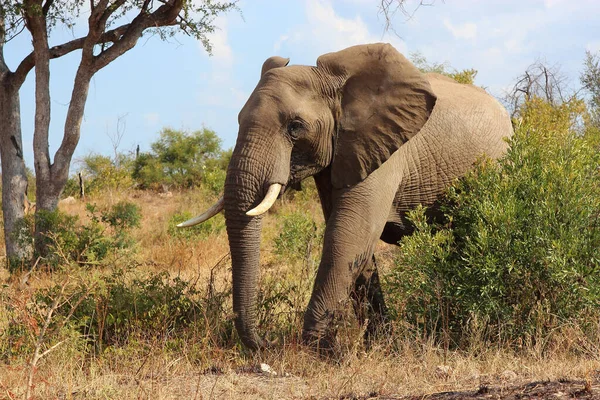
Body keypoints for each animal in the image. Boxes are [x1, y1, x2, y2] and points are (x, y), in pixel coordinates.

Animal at [180, 42, 512, 352]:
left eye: (295, 127)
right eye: (237, 120)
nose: (269, 343)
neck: (337, 86)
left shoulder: (386, 149)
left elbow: (348, 235)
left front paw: (319, 350)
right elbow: (355, 243)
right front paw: (377, 345)